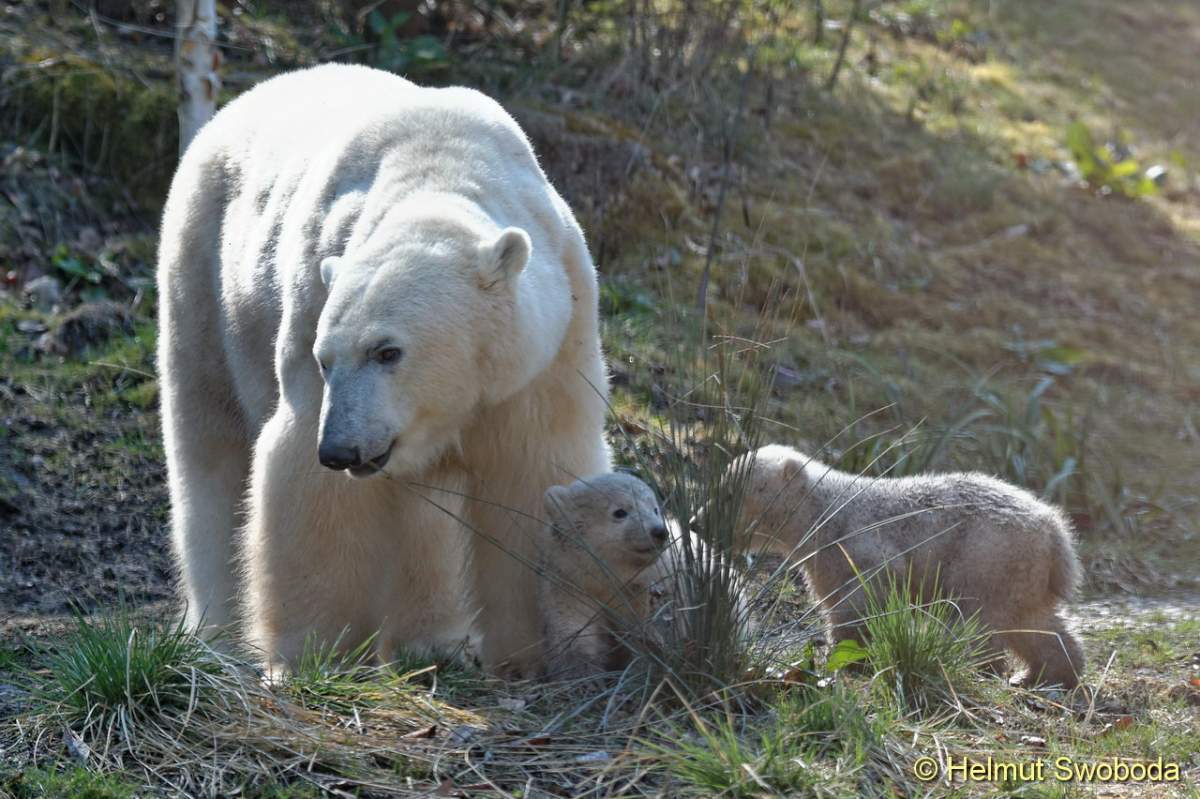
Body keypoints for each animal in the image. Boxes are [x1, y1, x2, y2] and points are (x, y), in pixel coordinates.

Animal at [156, 63, 610, 678]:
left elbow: (530, 473)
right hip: (203, 272)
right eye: (325, 358)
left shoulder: (545, 349)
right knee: (209, 446)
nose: (341, 450)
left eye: (387, 351)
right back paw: (216, 631)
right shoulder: (313, 303)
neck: (439, 177)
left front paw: (528, 655)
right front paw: (314, 654)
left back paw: (433, 640)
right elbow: (313, 493)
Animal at [721, 444, 1085, 688]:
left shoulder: (859, 544)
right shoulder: (825, 561)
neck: (826, 512)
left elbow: (862, 598)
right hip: (1022, 570)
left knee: (976, 620)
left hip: (987, 556)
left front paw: (845, 660)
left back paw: (967, 665)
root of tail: (1055, 532)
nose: (705, 521)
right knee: (1036, 623)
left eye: (732, 491)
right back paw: (1047, 673)